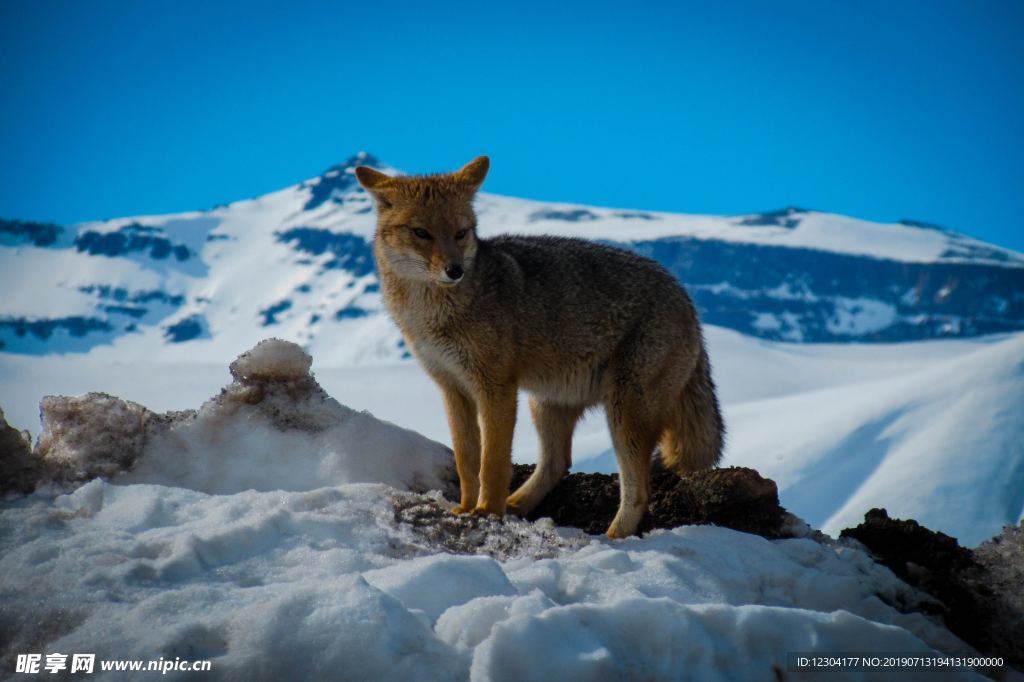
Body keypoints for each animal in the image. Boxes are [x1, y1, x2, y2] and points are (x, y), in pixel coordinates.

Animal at [356, 155, 724, 536]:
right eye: (421, 233)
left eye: (461, 233)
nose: (454, 270)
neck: (434, 312)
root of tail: (687, 300)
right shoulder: (453, 388)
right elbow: (466, 460)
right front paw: (466, 508)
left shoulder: (496, 388)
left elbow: (493, 462)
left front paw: (487, 510)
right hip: (547, 405)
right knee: (558, 463)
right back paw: (517, 504)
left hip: (623, 416)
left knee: (637, 490)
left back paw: (612, 536)